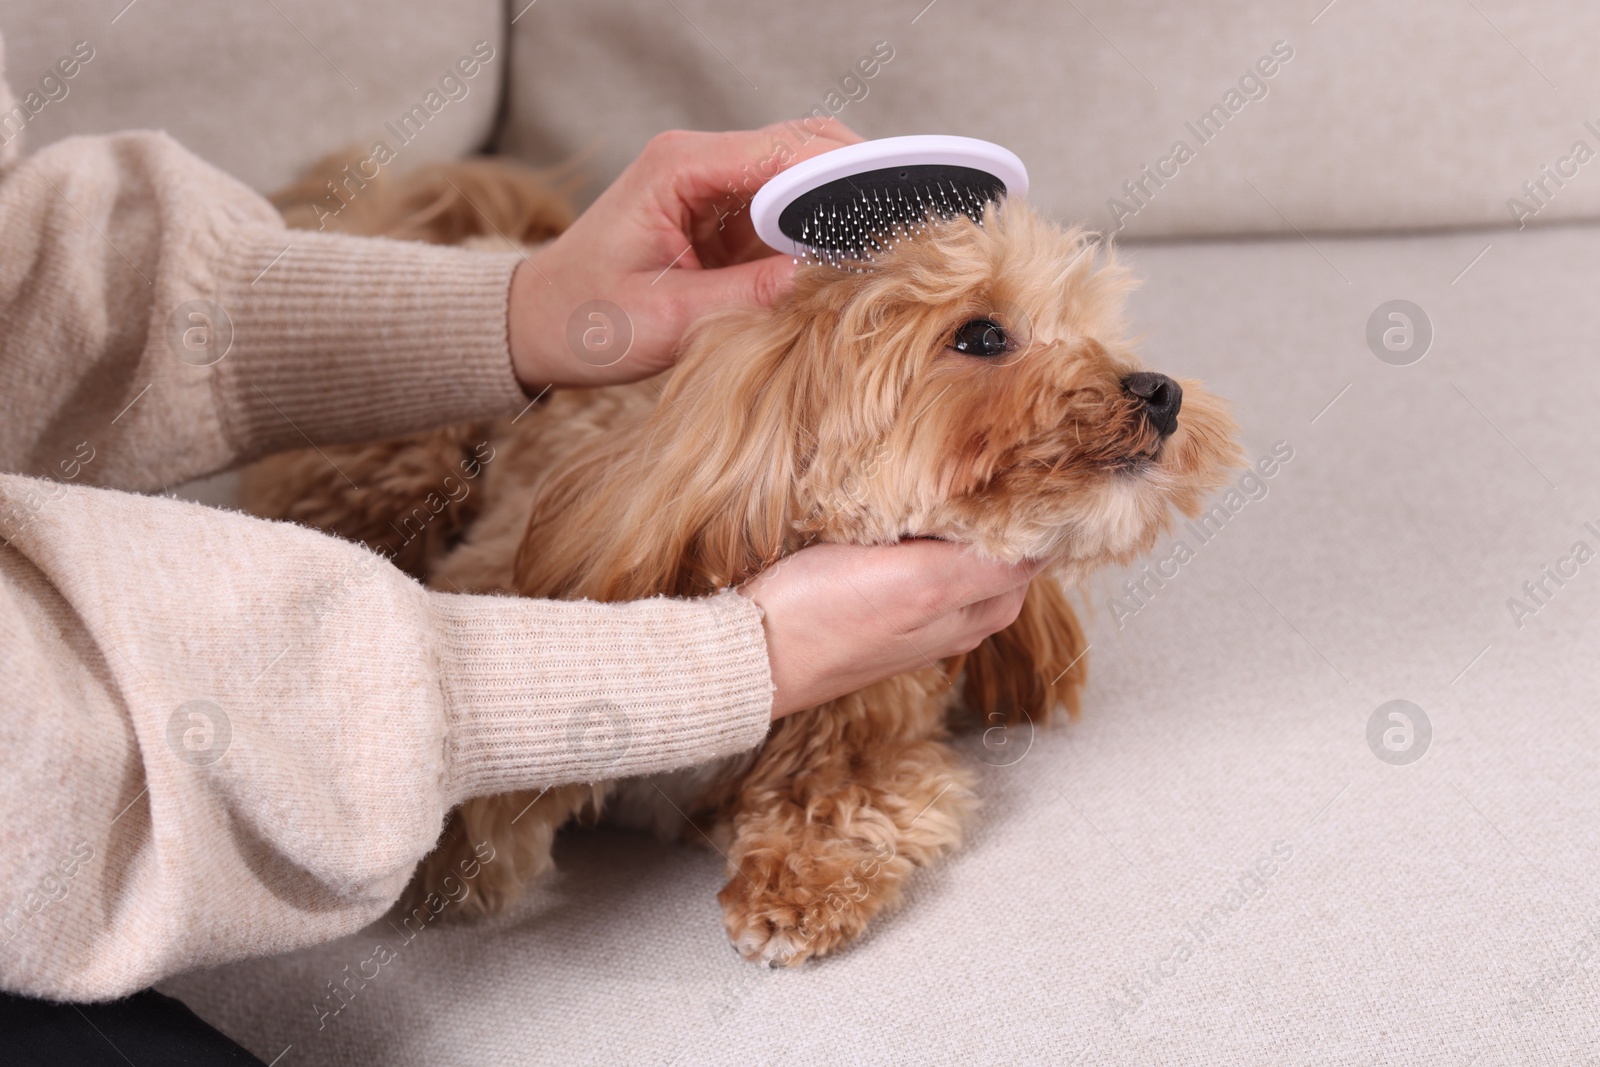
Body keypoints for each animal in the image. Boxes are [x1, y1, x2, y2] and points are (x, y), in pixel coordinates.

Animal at [246, 151, 1235, 966]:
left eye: (1099, 332)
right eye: (983, 336)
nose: (1161, 391)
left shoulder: (875, 733)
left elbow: (855, 798)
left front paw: (796, 886)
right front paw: (461, 851)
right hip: (399, 465)